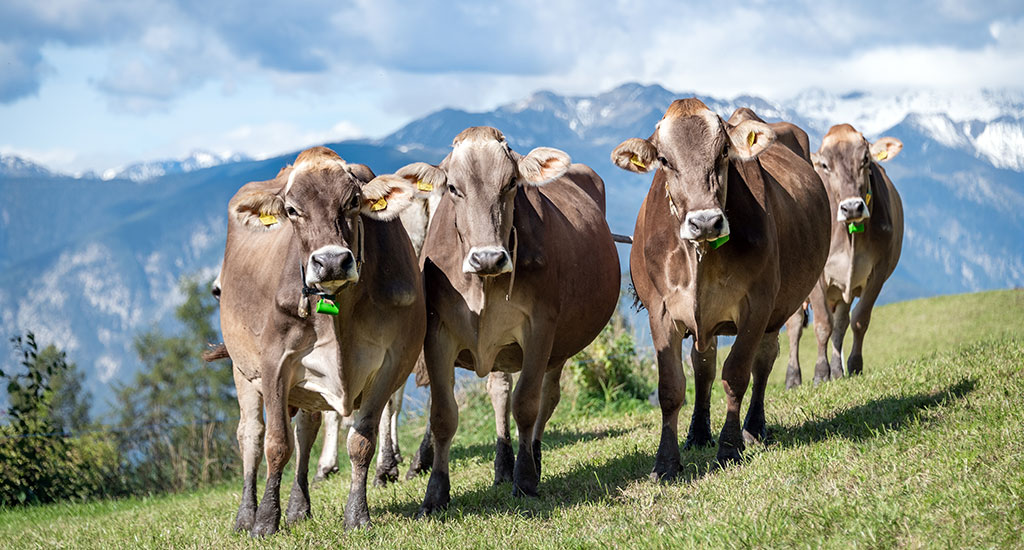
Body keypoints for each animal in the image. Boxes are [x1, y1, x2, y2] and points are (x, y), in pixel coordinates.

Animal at [218, 146, 425, 536]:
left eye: (353, 201)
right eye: (291, 210)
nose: (330, 262)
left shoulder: (393, 361)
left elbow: (361, 440)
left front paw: (357, 516)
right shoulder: (274, 362)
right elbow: (276, 444)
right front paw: (265, 521)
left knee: (306, 432)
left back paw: (299, 507)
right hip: (242, 370)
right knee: (251, 435)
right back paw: (244, 515)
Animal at [391, 126, 618, 512]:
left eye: (511, 183)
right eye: (453, 188)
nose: (488, 258)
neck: (483, 283)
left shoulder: (540, 325)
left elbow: (526, 404)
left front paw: (525, 479)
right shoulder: (437, 332)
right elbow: (443, 416)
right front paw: (435, 494)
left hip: (558, 344)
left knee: (546, 396)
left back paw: (532, 459)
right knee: (499, 391)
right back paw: (502, 465)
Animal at [610, 97, 827, 471]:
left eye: (724, 151)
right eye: (664, 161)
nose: (706, 221)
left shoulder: (757, 306)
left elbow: (737, 375)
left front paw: (729, 447)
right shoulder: (661, 311)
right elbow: (672, 387)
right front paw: (667, 463)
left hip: (775, 310)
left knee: (763, 362)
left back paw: (753, 428)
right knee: (704, 367)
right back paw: (698, 433)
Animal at [782, 123, 905, 385]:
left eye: (866, 159)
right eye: (825, 165)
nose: (852, 207)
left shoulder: (878, 271)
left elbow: (859, 320)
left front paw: (854, 365)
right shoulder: (816, 277)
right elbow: (822, 325)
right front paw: (820, 373)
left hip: (840, 292)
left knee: (841, 323)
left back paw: (837, 371)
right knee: (795, 324)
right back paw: (793, 377)